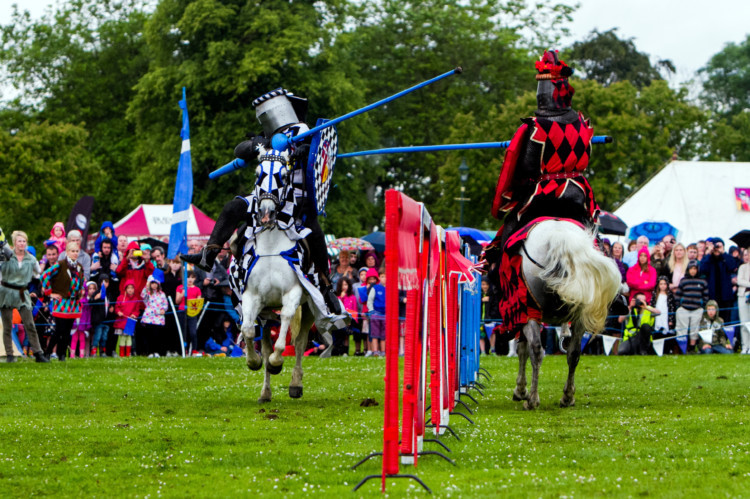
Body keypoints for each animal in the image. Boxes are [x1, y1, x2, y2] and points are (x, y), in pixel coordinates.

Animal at [512, 221, 624, 412]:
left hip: (530, 310)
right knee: (574, 353)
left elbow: (522, 350)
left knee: (536, 350)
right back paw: (567, 397)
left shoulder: (522, 315)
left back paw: (532, 399)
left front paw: (520, 390)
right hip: (579, 317)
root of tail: (559, 236)